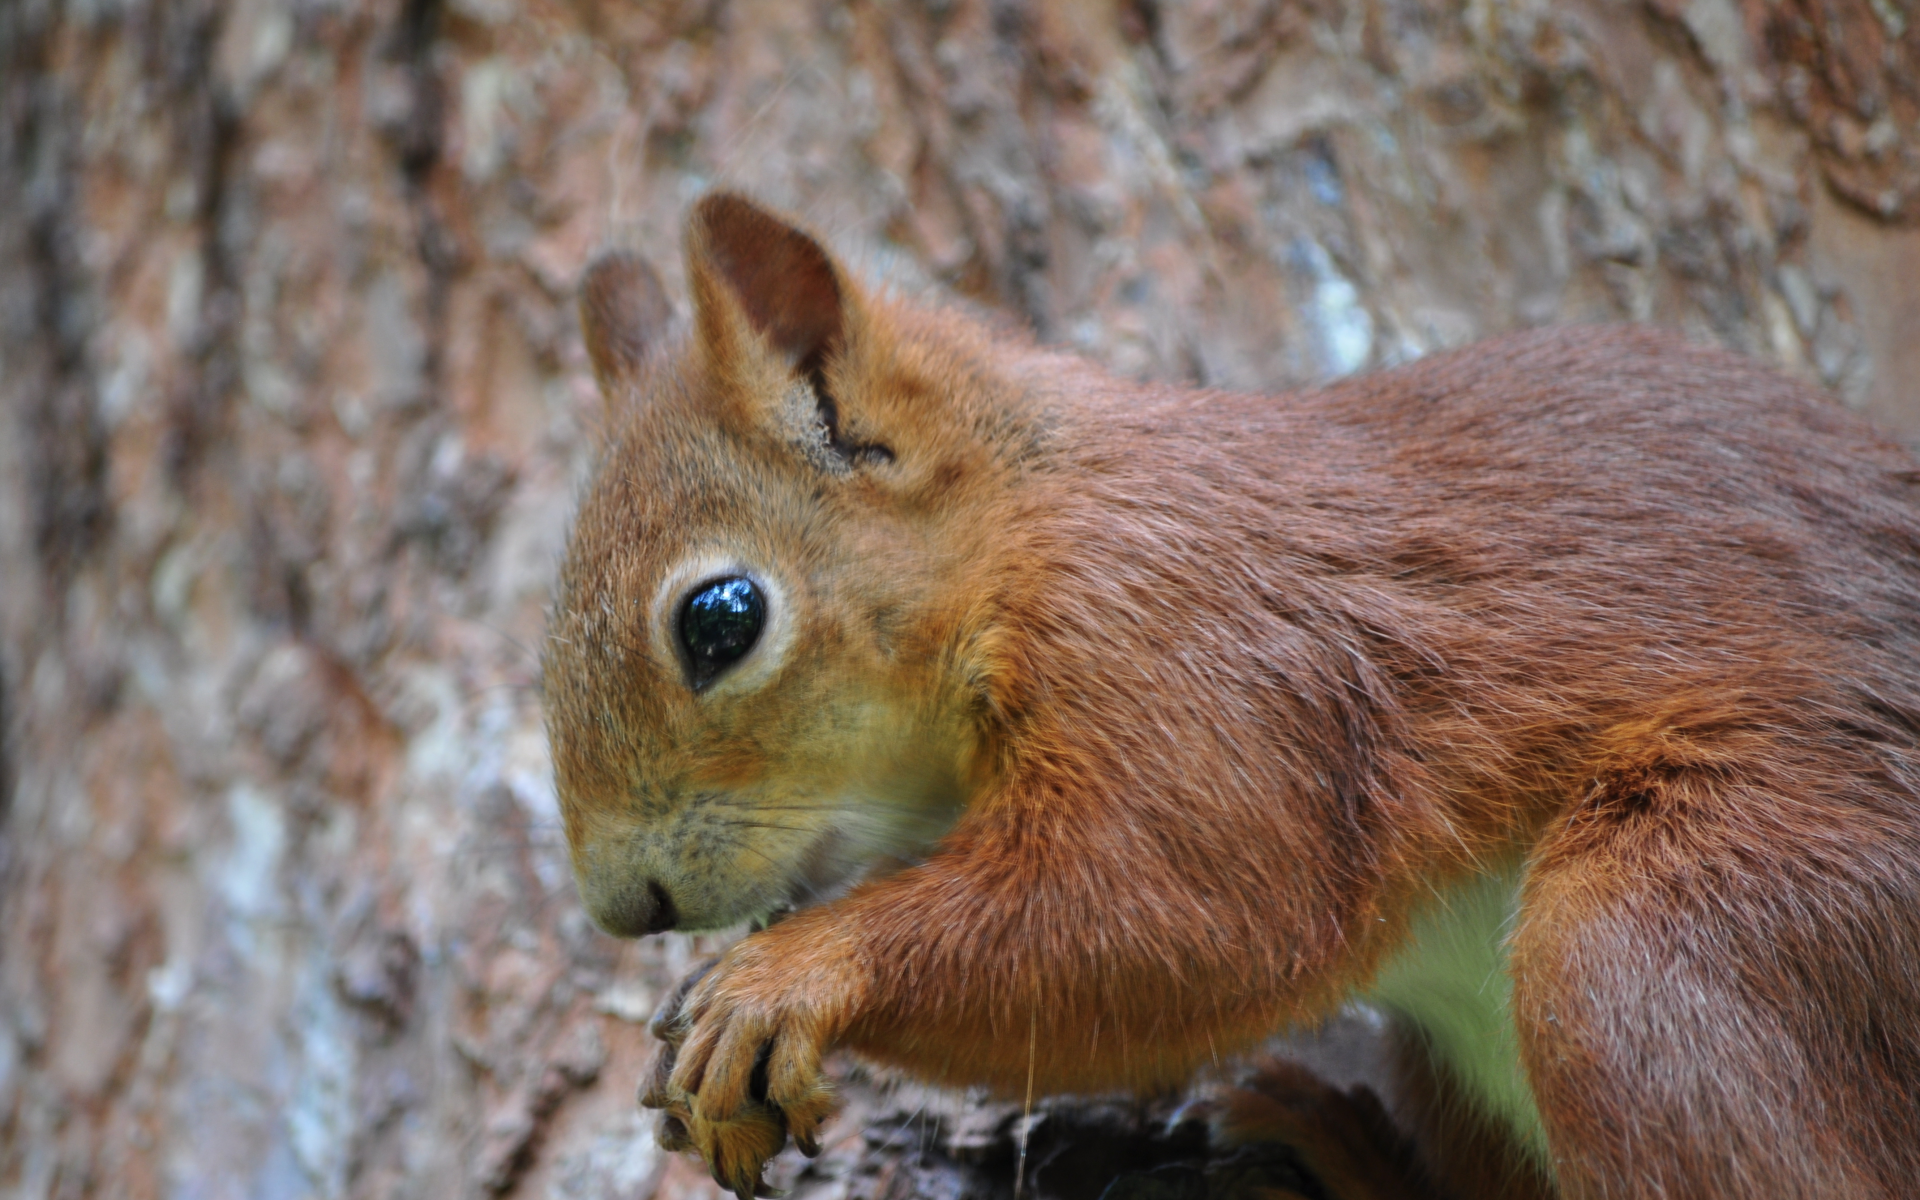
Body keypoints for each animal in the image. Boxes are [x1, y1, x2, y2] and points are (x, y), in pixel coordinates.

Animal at [537, 193, 1920, 1198]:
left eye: (721, 620)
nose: (624, 908)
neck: (1028, 529)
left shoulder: (1185, 652)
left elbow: (1192, 914)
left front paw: (784, 977)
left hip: (1668, 938)